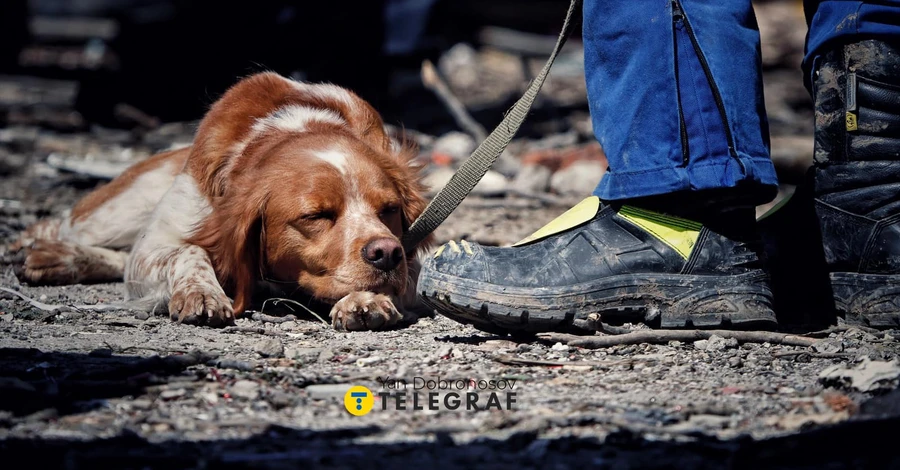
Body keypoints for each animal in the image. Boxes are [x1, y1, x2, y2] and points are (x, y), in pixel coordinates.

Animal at [14, 72, 432, 330]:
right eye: (316, 215)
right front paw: (200, 292)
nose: (386, 253)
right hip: (117, 213)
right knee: (64, 225)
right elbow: (188, 251)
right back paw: (43, 249)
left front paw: (365, 299)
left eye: (390, 210)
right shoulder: (156, 243)